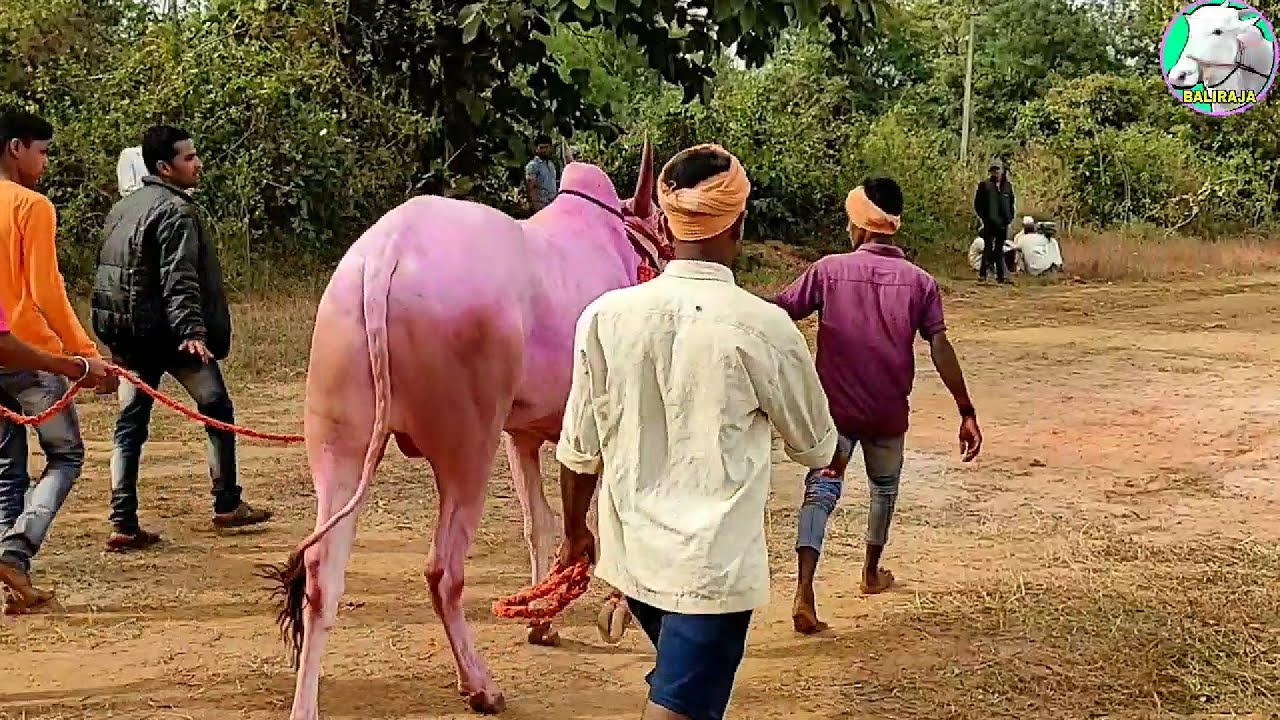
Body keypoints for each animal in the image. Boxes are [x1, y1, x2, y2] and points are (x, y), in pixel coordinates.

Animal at [266, 145, 665, 719]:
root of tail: (384, 254)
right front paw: (614, 613)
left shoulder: (522, 435)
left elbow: (541, 525)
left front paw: (542, 622)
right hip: (468, 447)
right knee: (443, 571)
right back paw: (480, 685)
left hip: (341, 443)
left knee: (322, 573)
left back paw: (306, 705)